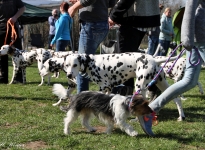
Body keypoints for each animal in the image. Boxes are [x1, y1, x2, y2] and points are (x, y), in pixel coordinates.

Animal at [52, 52, 186, 120]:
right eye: (67, 65)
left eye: (75, 65)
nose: (69, 75)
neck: (91, 63)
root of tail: (154, 60)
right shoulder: (108, 88)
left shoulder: (103, 87)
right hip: (162, 84)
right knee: (177, 99)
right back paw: (181, 116)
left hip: (140, 86)